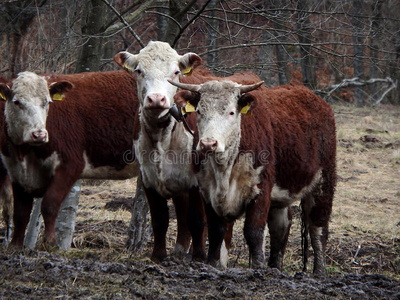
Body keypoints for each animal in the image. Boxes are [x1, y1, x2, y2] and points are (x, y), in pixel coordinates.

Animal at [170, 78, 336, 274]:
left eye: (231, 112)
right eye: (199, 111)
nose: (208, 144)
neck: (224, 169)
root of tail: (317, 100)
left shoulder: (261, 188)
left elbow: (254, 231)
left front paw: (258, 266)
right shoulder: (207, 191)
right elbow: (216, 230)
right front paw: (211, 264)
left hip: (323, 181)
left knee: (318, 228)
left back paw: (319, 271)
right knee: (281, 225)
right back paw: (275, 267)